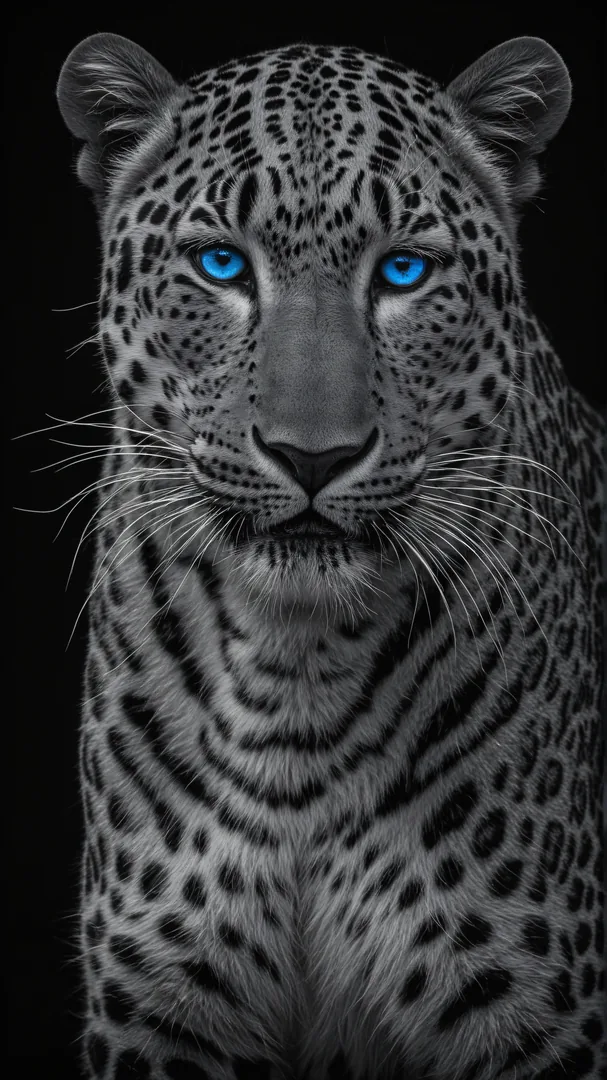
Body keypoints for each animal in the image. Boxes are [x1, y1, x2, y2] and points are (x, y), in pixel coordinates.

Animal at [56, 31, 605, 1080]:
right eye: (221, 264)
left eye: (403, 273)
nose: (312, 456)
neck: (297, 676)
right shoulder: (162, 1001)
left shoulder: (528, 1008)